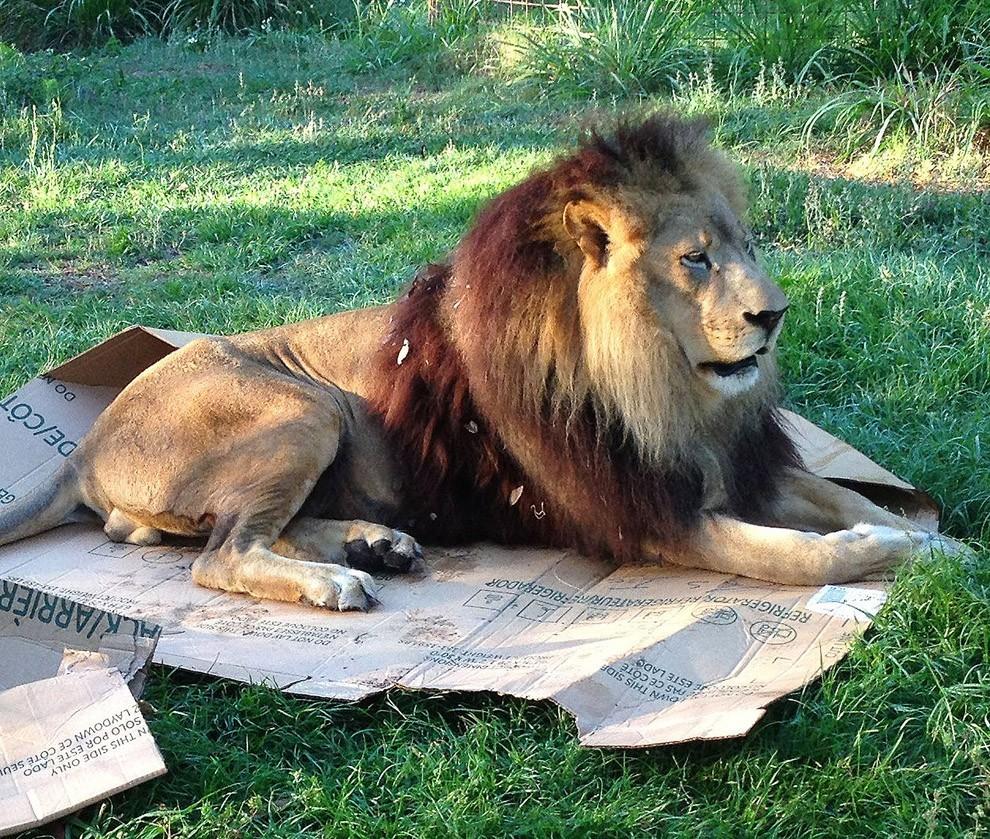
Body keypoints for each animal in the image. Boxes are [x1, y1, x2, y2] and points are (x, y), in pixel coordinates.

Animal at [0, 113, 944, 612]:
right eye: (696, 260)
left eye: (746, 246)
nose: (773, 314)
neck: (669, 388)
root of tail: (86, 444)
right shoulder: (648, 515)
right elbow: (799, 555)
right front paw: (882, 550)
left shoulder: (736, 464)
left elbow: (847, 497)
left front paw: (940, 546)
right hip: (302, 406)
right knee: (220, 553)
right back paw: (337, 580)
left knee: (242, 529)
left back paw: (375, 544)